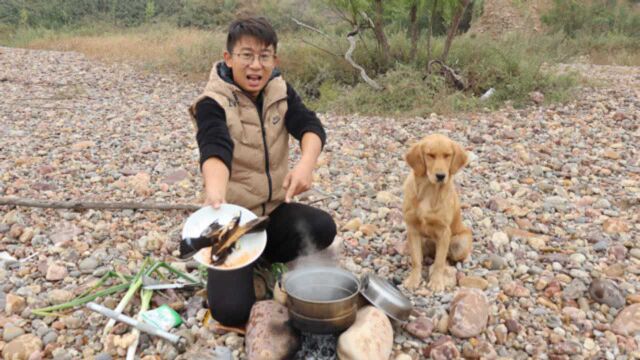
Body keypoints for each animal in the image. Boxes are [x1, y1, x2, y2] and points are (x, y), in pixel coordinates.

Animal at [402, 134, 472, 292]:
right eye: (430, 155)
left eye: (447, 155)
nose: (440, 176)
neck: (429, 190)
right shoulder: (413, 229)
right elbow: (416, 260)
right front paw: (413, 280)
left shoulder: (444, 232)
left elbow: (439, 262)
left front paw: (436, 282)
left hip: (460, 243)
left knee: (448, 258)